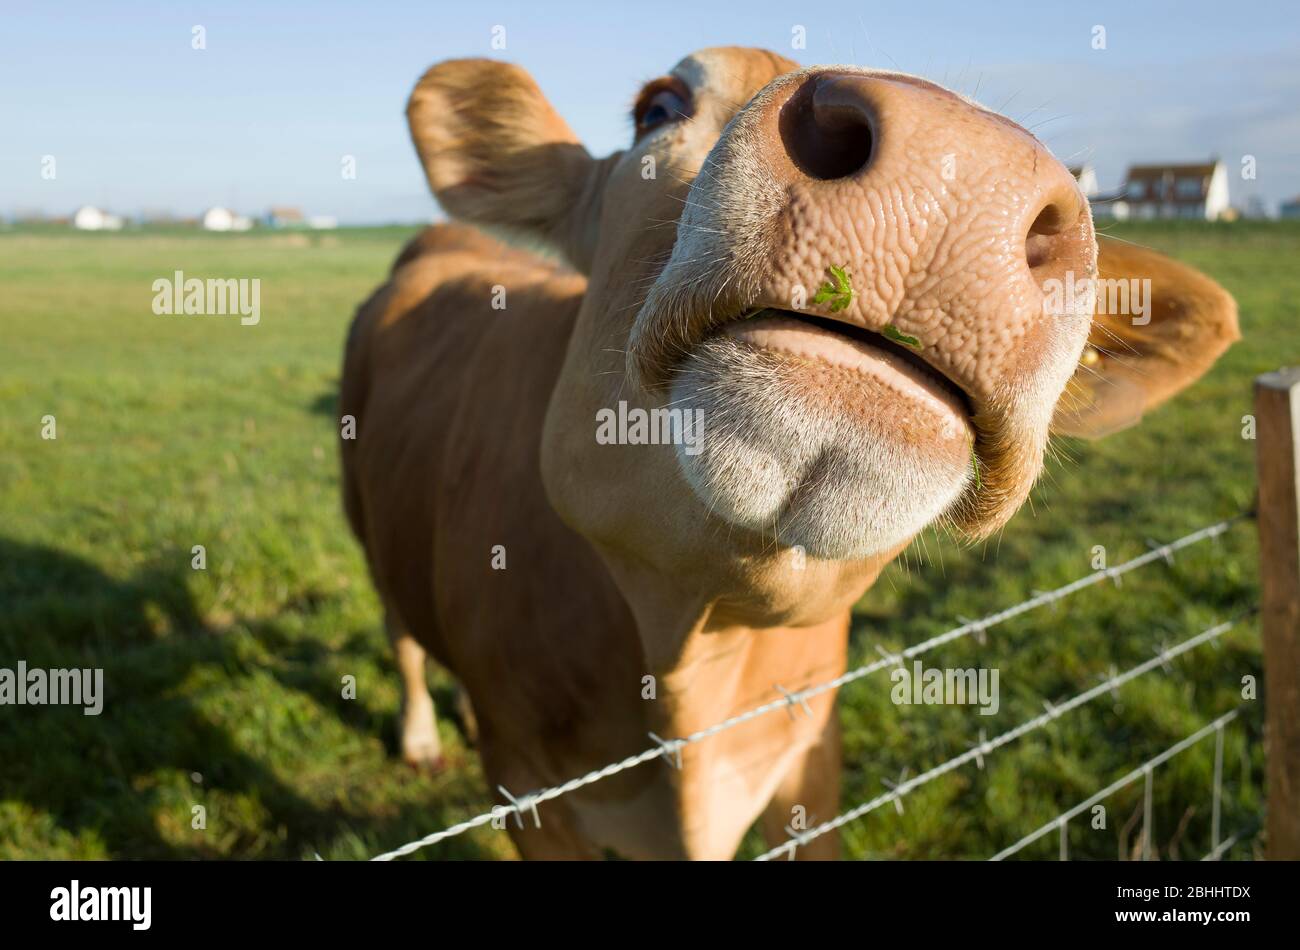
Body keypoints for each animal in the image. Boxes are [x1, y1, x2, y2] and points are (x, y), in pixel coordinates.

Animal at [343, 44, 1237, 862]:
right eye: (657, 107)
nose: (958, 158)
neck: (692, 646)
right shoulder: (533, 794)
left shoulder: (812, 752)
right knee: (397, 625)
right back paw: (423, 736)